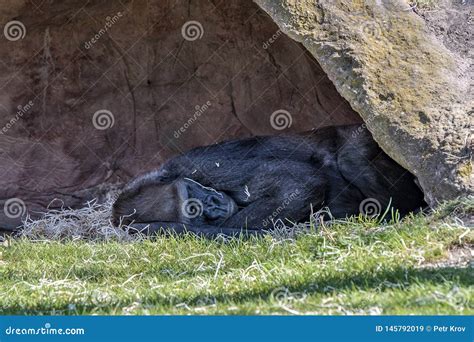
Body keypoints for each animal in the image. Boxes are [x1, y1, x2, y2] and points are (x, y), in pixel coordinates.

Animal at [112, 124, 426, 236]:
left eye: (193, 191)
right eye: (194, 210)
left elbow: (299, 184)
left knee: (352, 156)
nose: (213, 203)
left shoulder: (196, 164)